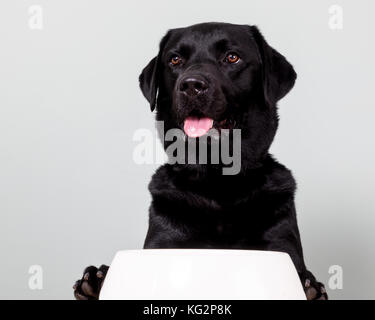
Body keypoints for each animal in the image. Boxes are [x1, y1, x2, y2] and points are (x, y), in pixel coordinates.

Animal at [75, 22, 328, 300]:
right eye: (175, 60)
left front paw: (308, 284)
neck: (216, 178)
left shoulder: (281, 246)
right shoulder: (164, 241)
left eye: (232, 57)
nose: (191, 85)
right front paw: (99, 278)